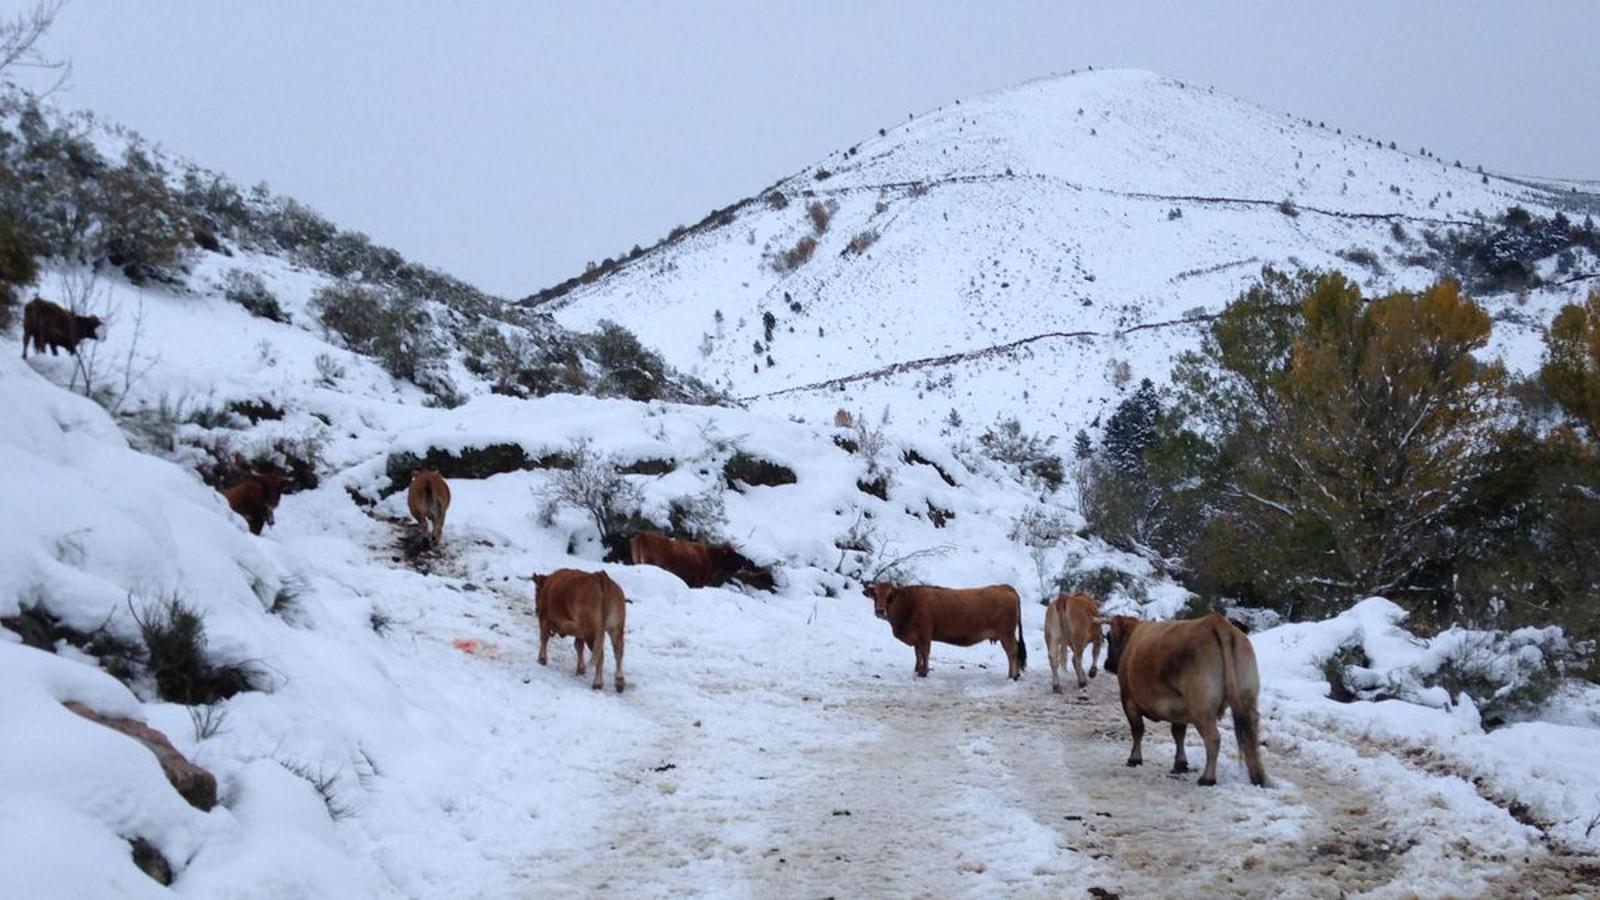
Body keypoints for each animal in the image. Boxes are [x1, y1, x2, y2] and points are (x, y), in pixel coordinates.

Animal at [864, 576, 1024, 675]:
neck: (909, 604)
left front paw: (923, 672)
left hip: (1006, 634)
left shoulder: (924, 635)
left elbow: (925, 653)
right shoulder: (917, 638)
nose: (880, 611)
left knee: (1013, 651)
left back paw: (1013, 676)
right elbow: (917, 654)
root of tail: (1004, 587)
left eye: (890, 596)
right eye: (875, 595)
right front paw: (917, 669)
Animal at [1107, 608, 1267, 784]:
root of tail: (1217, 623)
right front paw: (1180, 764)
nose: (1107, 664)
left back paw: (1207, 778)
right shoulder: (1179, 707)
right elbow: (1178, 734)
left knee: (1213, 738)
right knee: (1250, 735)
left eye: (1108, 636)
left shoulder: (1129, 701)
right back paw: (1258, 777)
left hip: (1201, 708)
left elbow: (1138, 730)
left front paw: (1134, 759)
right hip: (1247, 699)